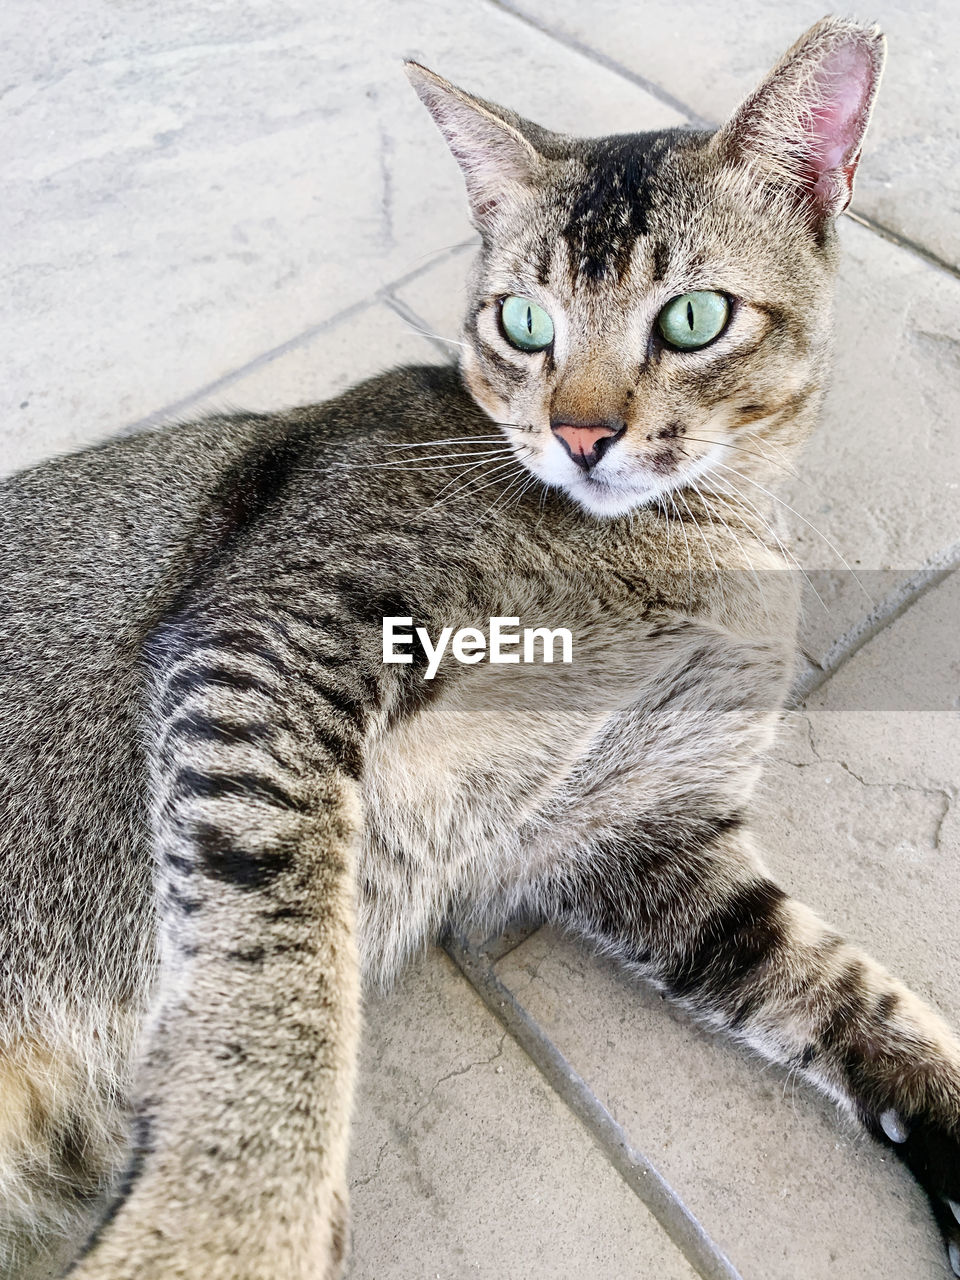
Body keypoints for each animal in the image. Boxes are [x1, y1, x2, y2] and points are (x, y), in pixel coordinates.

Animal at [1, 17, 960, 1280]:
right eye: (524, 322)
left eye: (693, 318)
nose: (583, 432)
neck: (685, 536)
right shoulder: (270, 633)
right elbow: (273, 974)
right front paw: (225, 1229)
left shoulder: (650, 838)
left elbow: (856, 996)